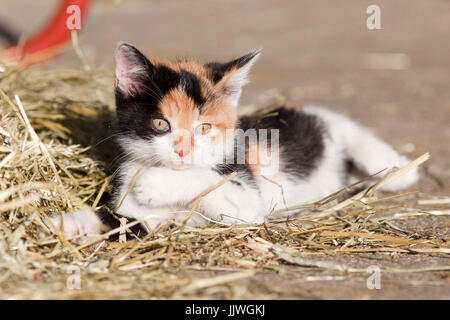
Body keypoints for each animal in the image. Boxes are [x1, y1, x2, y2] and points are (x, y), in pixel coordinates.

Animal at [44, 42, 418, 238]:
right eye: (161, 124)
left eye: (204, 128)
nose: (182, 151)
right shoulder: (138, 214)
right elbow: (119, 220)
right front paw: (62, 224)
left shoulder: (248, 205)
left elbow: (210, 181)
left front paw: (156, 183)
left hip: (353, 138)